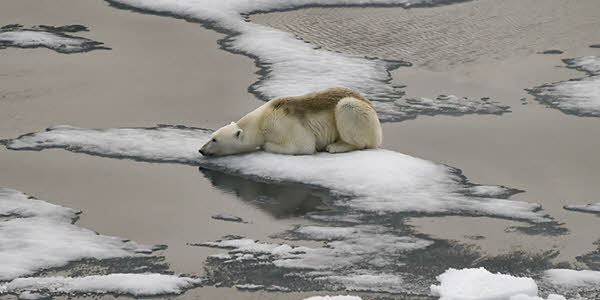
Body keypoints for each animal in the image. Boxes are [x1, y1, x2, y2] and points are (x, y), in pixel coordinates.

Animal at [199, 87, 382, 156]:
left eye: (214, 139)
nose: (201, 150)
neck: (262, 120)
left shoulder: (284, 124)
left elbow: (302, 145)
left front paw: (264, 145)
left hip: (360, 113)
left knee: (348, 108)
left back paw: (336, 146)